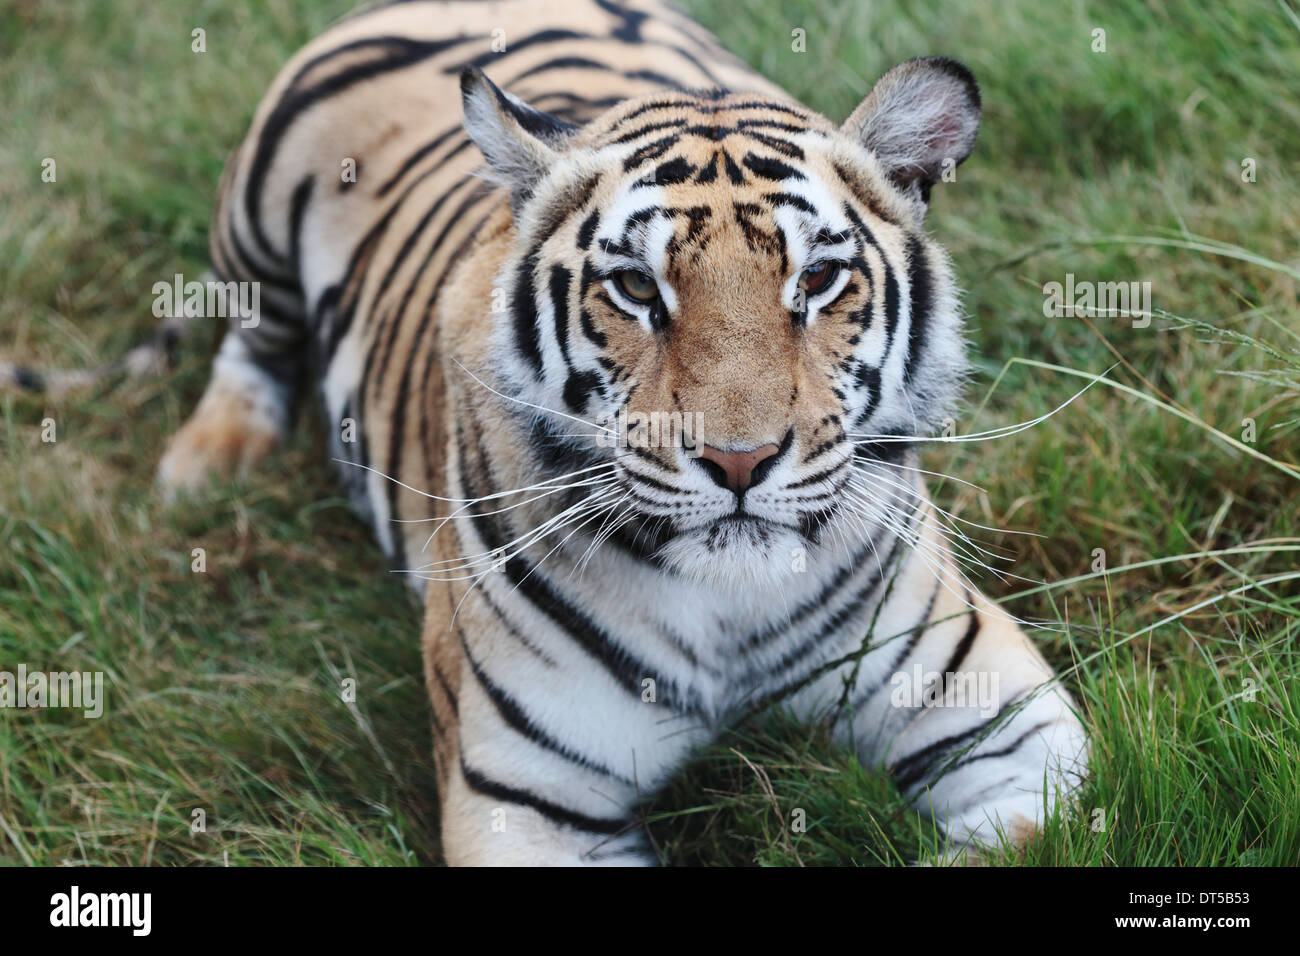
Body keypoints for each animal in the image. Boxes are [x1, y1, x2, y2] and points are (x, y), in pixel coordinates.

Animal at [149, 0, 1086, 868]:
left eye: (819, 279)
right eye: (636, 287)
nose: (739, 462)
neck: (730, 613)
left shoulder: (1017, 730)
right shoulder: (522, 801)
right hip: (255, 214)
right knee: (248, 334)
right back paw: (205, 466)